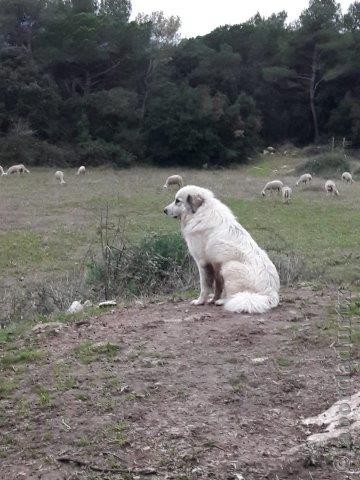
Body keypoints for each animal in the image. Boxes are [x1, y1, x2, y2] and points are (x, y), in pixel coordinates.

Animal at [165, 187, 280, 316]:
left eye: (177, 201)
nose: (164, 210)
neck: (200, 212)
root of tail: (271, 293)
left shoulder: (202, 262)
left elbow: (204, 286)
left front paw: (200, 301)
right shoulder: (215, 264)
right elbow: (218, 286)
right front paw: (212, 299)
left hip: (229, 267)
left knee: (235, 296)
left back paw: (222, 301)